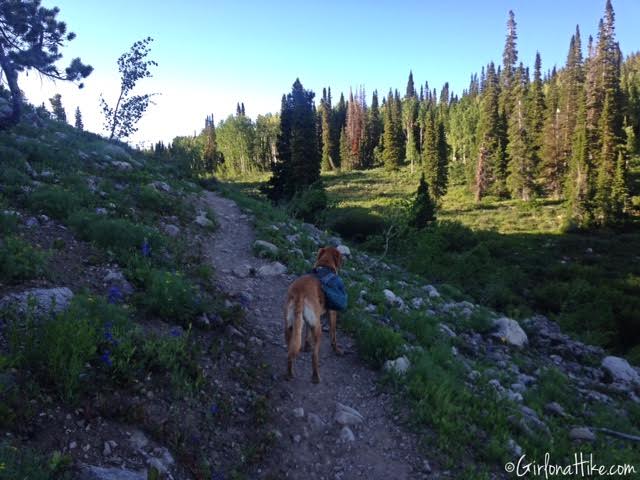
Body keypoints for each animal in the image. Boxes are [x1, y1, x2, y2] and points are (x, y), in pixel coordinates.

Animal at [284, 248, 342, 382]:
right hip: (318, 328)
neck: (325, 266)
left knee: (290, 352)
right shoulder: (332, 312)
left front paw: (306, 346)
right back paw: (316, 377)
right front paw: (336, 350)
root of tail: (299, 292)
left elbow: (306, 334)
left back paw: (289, 374)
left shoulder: (307, 320)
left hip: (289, 326)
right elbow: (333, 334)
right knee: (314, 356)